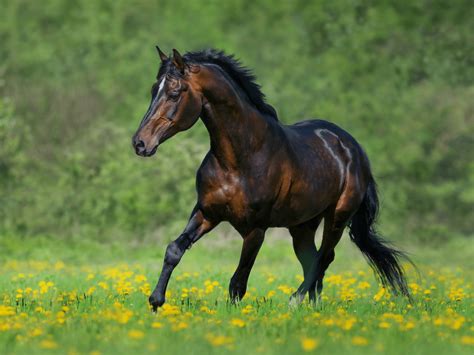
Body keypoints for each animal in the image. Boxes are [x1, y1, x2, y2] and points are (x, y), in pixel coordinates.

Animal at [131, 46, 412, 310]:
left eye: (174, 93)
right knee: (313, 260)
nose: (140, 143)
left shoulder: (255, 229)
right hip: (302, 226)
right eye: (154, 90)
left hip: (337, 218)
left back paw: (295, 300)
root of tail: (354, 149)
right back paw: (312, 306)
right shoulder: (207, 213)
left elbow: (238, 282)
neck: (240, 159)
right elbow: (174, 250)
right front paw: (155, 301)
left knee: (324, 257)